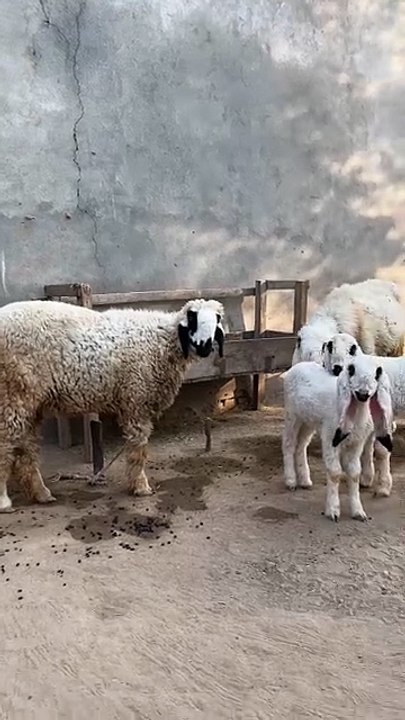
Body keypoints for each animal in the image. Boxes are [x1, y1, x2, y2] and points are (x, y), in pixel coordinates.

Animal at [0, 297, 225, 512]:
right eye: (192, 317)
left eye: (217, 320)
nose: (204, 345)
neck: (163, 341)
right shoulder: (136, 399)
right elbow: (138, 450)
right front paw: (141, 487)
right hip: (10, 394)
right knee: (5, 446)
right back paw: (4, 501)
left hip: (29, 402)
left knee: (27, 449)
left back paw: (42, 494)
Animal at [282, 355, 394, 520]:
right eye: (351, 370)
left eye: (377, 373)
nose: (362, 394)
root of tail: (299, 365)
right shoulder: (330, 438)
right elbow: (335, 473)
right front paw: (333, 510)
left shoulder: (357, 443)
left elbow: (354, 473)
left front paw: (358, 512)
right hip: (292, 415)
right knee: (289, 444)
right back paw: (291, 481)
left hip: (309, 421)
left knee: (301, 446)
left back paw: (305, 480)